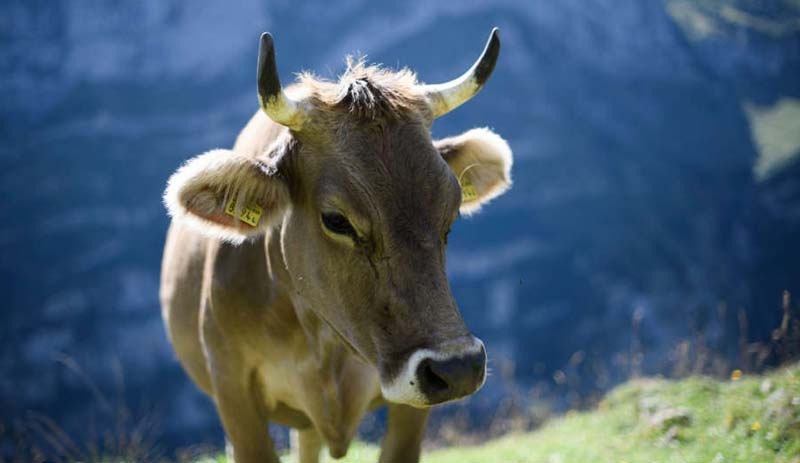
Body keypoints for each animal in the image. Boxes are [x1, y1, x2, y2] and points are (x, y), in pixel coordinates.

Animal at [160, 29, 512, 463]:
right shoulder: (234, 395)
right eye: (336, 220)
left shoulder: (410, 414)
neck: (321, 340)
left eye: (451, 209)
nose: (458, 367)